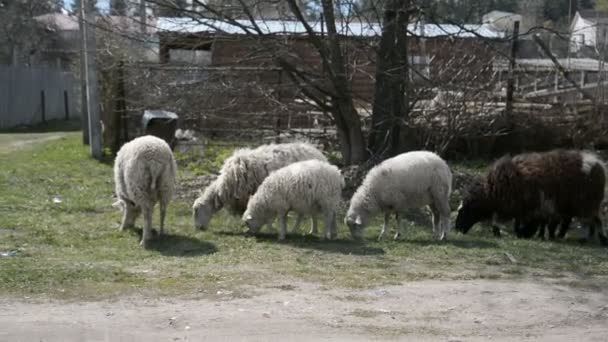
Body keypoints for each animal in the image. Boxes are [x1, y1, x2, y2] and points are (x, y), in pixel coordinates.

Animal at [456, 150, 608, 246]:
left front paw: (501, 232)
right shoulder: (524, 207)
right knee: (590, 220)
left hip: (587, 202)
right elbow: (523, 222)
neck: (491, 191)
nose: (457, 229)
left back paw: (595, 239)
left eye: (464, 211)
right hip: (581, 204)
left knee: (594, 220)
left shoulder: (528, 206)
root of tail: (598, 164)